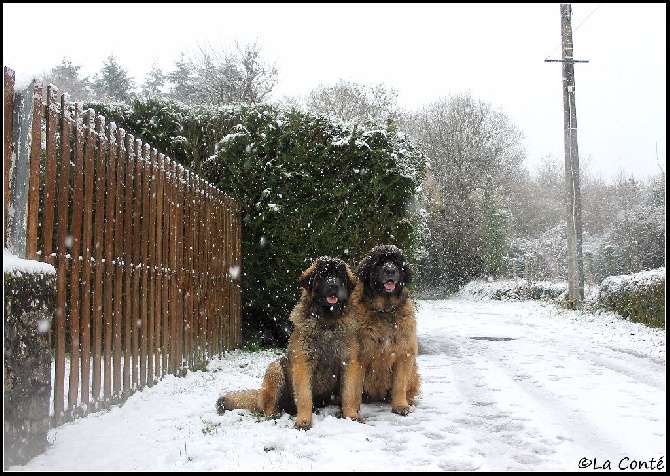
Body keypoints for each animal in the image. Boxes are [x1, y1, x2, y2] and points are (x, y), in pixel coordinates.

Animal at [217, 258, 364, 430]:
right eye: (324, 275)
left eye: (340, 276)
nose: (333, 285)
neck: (327, 322)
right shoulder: (303, 363)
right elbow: (305, 396)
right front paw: (304, 421)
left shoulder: (349, 363)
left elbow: (349, 393)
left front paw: (351, 415)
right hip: (275, 370)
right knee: (268, 403)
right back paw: (273, 413)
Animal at [352, 244, 420, 414]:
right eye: (379, 263)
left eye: (396, 263)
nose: (390, 271)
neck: (385, 309)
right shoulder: (359, 356)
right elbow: (354, 388)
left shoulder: (404, 353)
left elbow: (400, 384)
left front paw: (400, 405)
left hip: (414, 371)